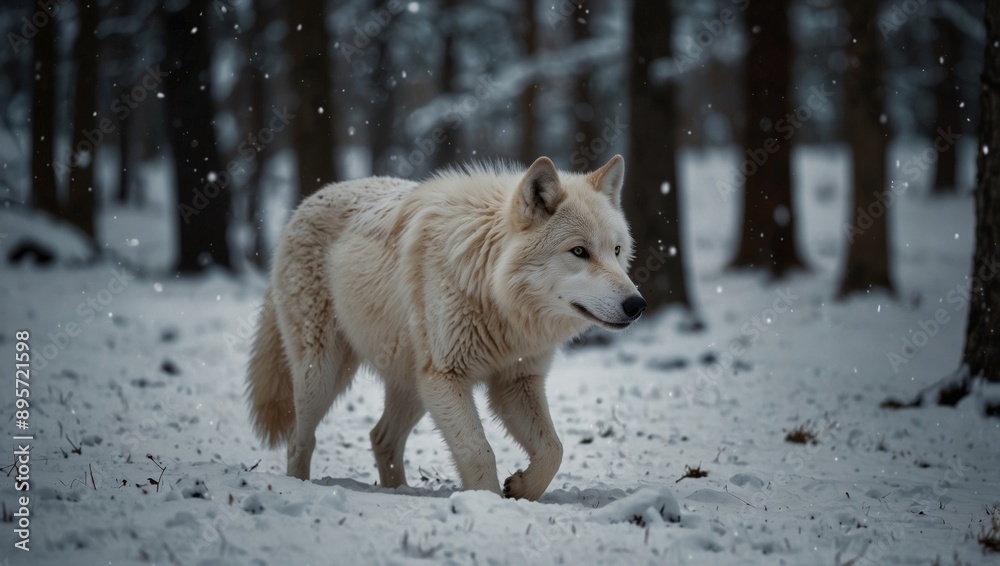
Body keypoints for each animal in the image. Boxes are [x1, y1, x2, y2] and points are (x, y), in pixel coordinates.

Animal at [246, 155, 646, 500]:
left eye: (616, 250)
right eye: (579, 252)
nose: (637, 305)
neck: (495, 295)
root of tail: (301, 208)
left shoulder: (515, 382)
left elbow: (554, 450)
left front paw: (519, 488)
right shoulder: (446, 377)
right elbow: (478, 451)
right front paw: (487, 504)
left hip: (414, 386)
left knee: (380, 437)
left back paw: (400, 492)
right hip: (323, 375)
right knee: (300, 438)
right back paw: (301, 485)